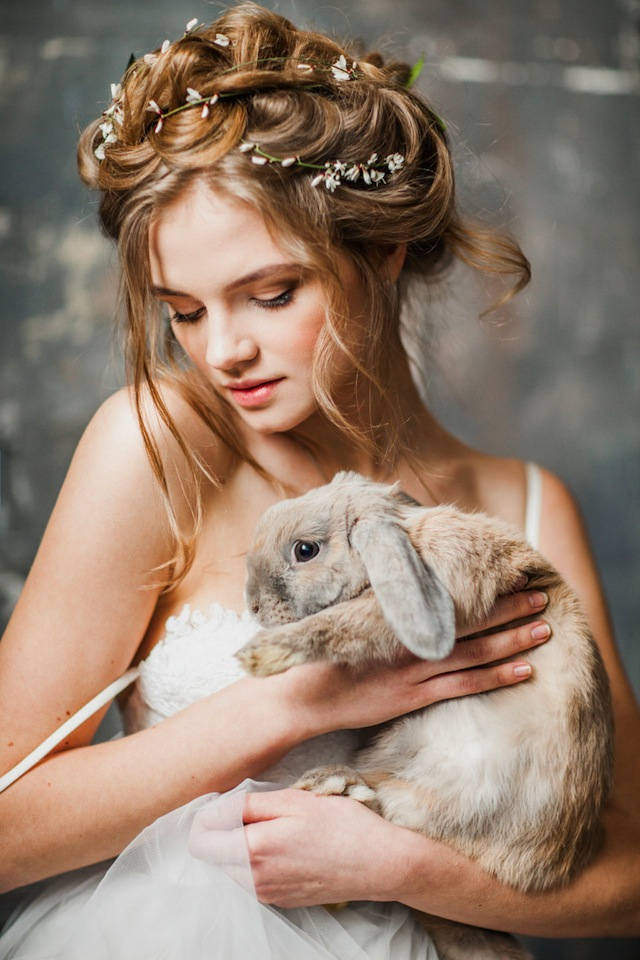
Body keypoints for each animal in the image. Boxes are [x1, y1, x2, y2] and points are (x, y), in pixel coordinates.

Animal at [235, 472, 616, 960]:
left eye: (305, 550)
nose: (253, 606)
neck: (410, 537)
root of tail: (536, 867)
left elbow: (341, 625)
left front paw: (260, 656)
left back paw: (336, 786)